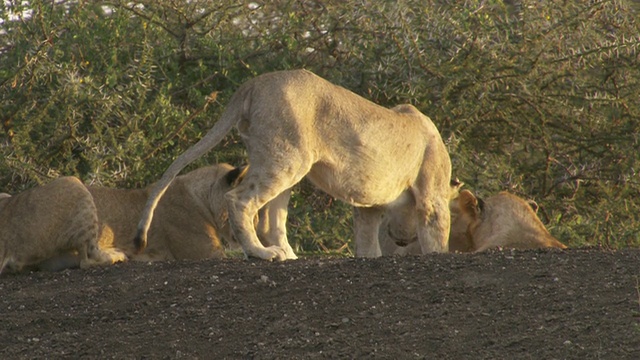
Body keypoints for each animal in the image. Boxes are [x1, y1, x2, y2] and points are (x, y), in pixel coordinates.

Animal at [136, 69, 456, 260]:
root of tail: (254, 82)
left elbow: (367, 242)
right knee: (239, 199)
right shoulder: (432, 196)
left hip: (277, 157)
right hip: (289, 158)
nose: (402, 240)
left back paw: (286, 254)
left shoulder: (367, 208)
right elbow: (437, 235)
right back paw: (261, 253)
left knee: (270, 218)